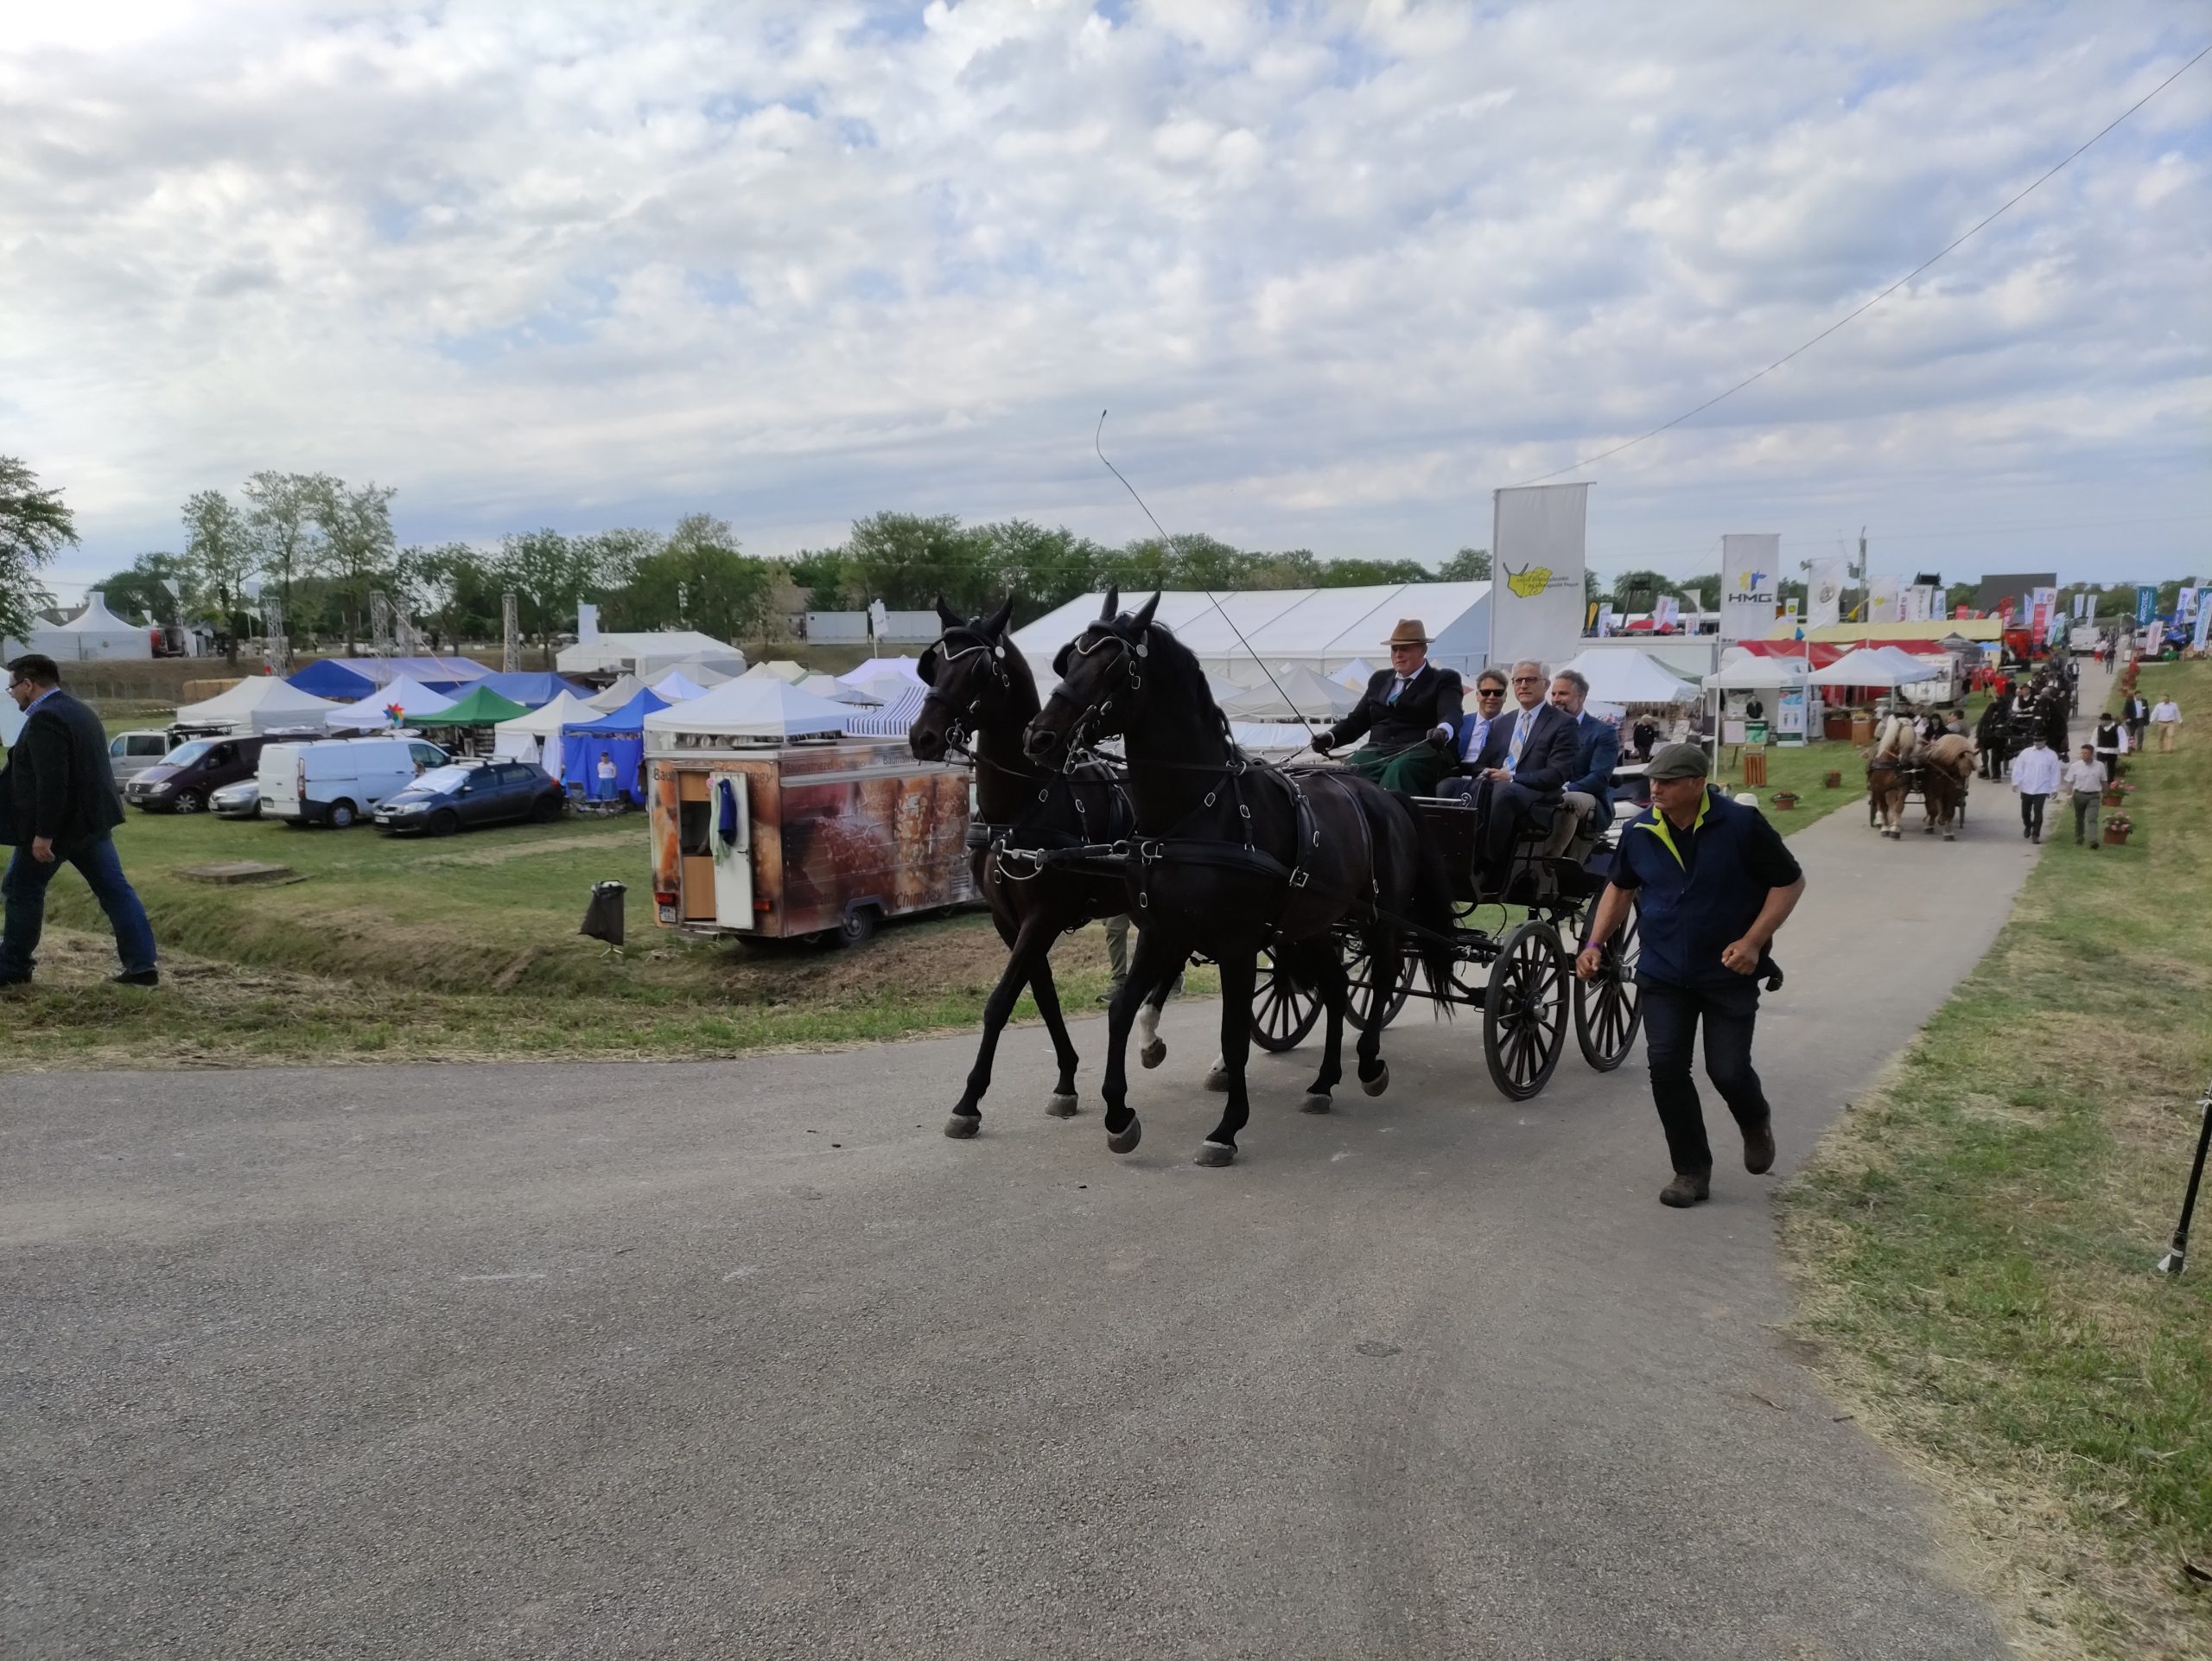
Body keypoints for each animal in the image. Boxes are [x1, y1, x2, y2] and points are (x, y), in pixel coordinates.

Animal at [906, 592, 1176, 1141]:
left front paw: (968, 1101)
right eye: (934, 663)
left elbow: (1000, 1001)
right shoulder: (1008, 921)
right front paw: (1067, 1082)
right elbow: (1042, 994)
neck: (1022, 809)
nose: (922, 737)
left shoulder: (1044, 916)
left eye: (978, 670)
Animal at [1013, 592, 1451, 1168]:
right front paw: (1119, 1116)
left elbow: (1233, 1033)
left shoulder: (1238, 944)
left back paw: (1370, 1063)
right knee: (1337, 988)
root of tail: (1383, 792)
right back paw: (1323, 1083)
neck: (1196, 812)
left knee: (1381, 978)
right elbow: (1123, 1011)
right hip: (1315, 923)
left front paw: (1226, 1128)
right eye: (1067, 661)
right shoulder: (1161, 931)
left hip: (1379, 918)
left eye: (1113, 668)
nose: (1038, 737)